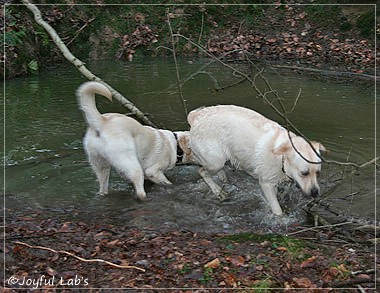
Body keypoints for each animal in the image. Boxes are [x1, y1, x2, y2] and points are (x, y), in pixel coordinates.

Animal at [186, 104, 326, 214]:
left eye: (318, 173)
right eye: (304, 173)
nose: (315, 192)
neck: (280, 157)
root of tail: (196, 116)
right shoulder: (266, 184)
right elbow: (277, 209)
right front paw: (280, 220)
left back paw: (222, 178)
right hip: (216, 161)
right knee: (202, 171)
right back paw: (218, 191)